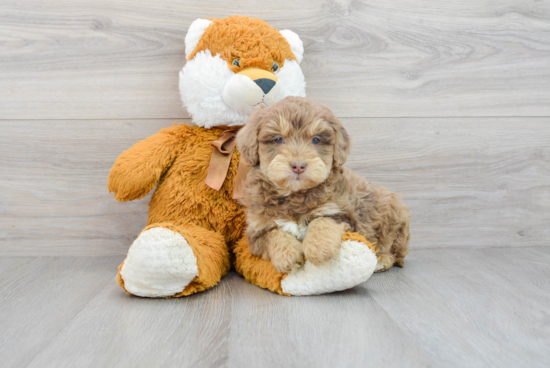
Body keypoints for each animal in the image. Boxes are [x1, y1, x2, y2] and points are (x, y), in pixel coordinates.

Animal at [235, 96, 412, 274]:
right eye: (278, 139)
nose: (298, 166)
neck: (296, 195)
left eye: (316, 140)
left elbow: (322, 221)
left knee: (393, 250)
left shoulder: (343, 214)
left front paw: (319, 249)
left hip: (391, 218)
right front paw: (287, 256)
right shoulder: (257, 230)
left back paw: (381, 261)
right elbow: (274, 234)